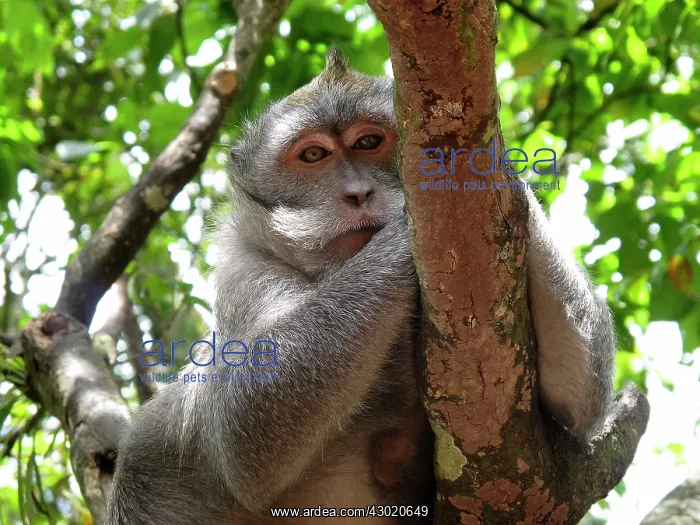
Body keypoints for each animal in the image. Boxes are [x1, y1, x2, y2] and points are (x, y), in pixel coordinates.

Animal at [106, 50, 614, 525]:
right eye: (314, 155)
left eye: (369, 142)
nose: (358, 193)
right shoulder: (244, 270)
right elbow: (243, 424)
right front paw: (404, 230)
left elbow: (576, 401)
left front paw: (504, 176)